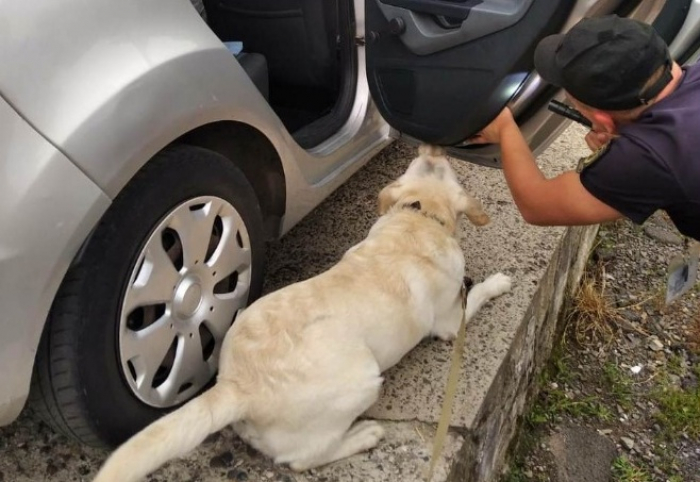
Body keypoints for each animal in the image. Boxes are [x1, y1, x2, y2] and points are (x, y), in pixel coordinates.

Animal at [93, 147, 512, 482]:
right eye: (445, 167)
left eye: (431, 163)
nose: (434, 147)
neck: (419, 216)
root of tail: (237, 386)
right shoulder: (450, 321)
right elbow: (476, 293)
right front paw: (499, 282)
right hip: (364, 378)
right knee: (303, 459)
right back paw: (363, 435)